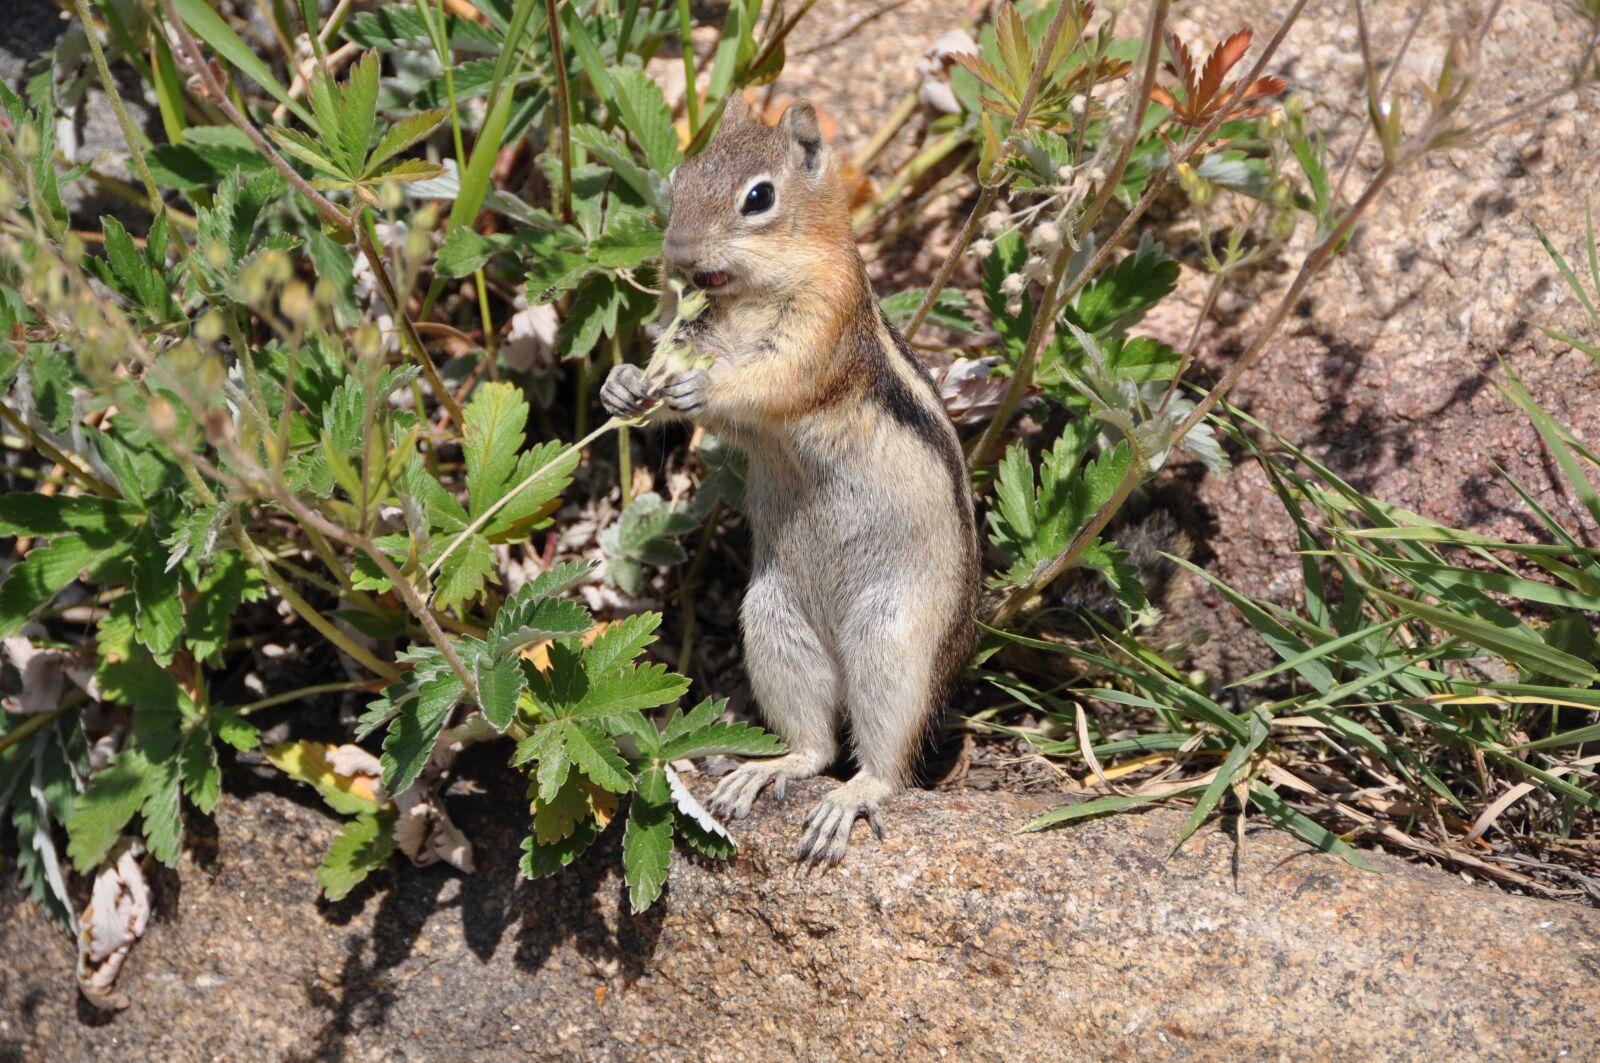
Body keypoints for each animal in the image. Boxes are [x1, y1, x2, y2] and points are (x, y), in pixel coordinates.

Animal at [600, 94, 979, 865]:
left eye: (758, 198)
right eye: (681, 176)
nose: (677, 255)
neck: (748, 296)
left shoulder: (820, 328)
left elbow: (769, 381)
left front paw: (696, 386)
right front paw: (624, 384)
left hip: (893, 640)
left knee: (883, 761)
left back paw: (848, 801)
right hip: (775, 626)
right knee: (816, 745)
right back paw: (762, 771)